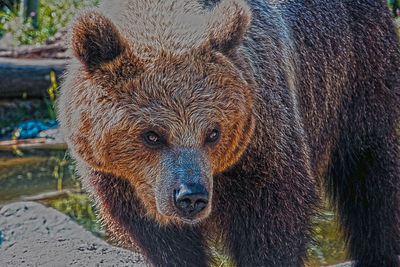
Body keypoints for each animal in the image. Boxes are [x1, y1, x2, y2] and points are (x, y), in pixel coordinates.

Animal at [58, 0, 400, 266]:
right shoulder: (121, 183)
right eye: (152, 134)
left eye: (213, 132)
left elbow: (274, 219)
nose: (191, 196)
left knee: (371, 175)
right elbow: (166, 243)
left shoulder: (262, 138)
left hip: (358, 73)